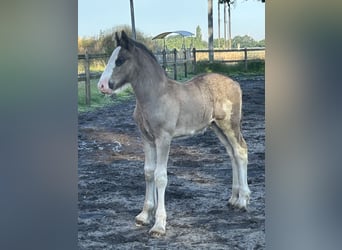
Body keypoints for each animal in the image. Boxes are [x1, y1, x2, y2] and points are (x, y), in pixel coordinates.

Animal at [97, 30, 250, 236]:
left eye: (120, 60)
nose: (102, 85)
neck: (155, 95)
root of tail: (235, 83)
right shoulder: (147, 139)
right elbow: (148, 172)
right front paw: (144, 215)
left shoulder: (164, 138)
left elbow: (160, 176)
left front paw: (159, 225)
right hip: (217, 127)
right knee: (232, 154)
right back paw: (233, 199)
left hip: (230, 124)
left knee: (241, 151)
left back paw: (243, 201)